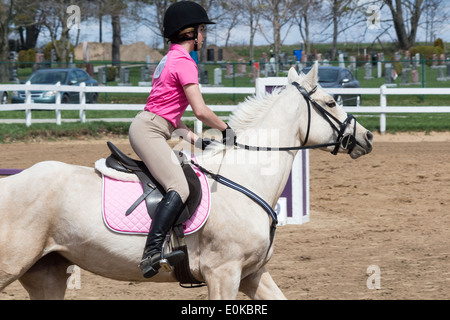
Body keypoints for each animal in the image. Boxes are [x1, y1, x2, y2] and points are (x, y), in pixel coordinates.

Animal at [0, 65, 372, 300]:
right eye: (331, 102)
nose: (366, 137)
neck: (246, 178)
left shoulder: (252, 275)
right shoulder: (223, 273)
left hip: (46, 273)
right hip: (12, 266)